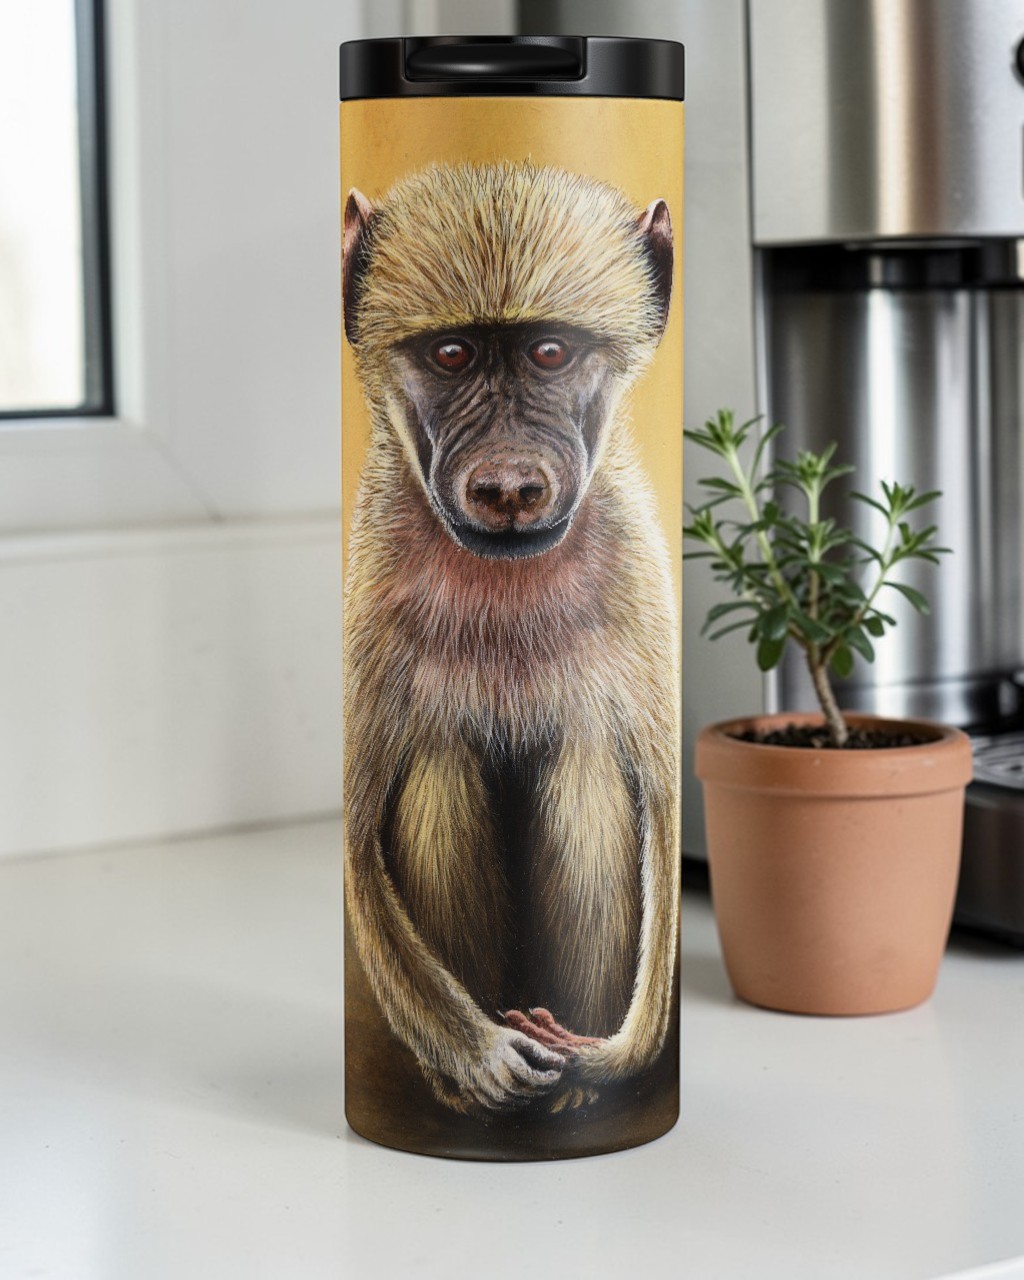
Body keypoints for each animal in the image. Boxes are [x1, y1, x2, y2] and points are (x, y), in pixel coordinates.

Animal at [343, 161, 679, 1114]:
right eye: (452, 354)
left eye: (550, 353)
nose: (508, 487)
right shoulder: (372, 602)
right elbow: (357, 845)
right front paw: (485, 1055)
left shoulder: (642, 586)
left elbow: (665, 818)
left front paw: (607, 1059)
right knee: (439, 755)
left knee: (589, 757)